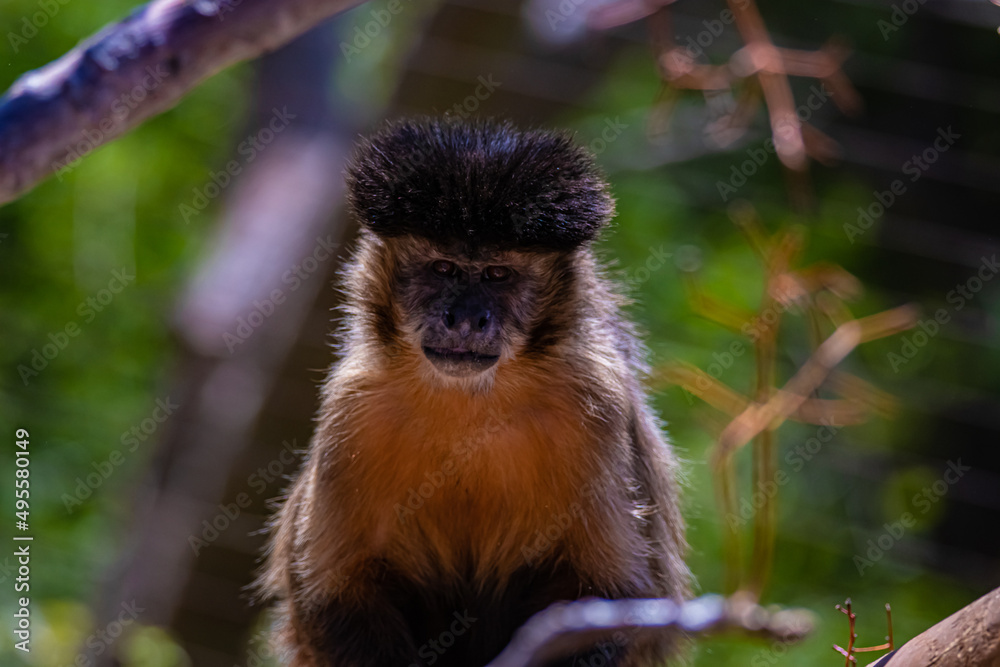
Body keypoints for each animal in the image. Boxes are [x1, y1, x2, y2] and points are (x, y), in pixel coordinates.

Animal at [259, 117, 690, 667]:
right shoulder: (351, 406)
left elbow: (608, 597)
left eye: (497, 274)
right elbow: (334, 590)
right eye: (444, 268)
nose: (465, 318)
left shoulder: (597, 404)